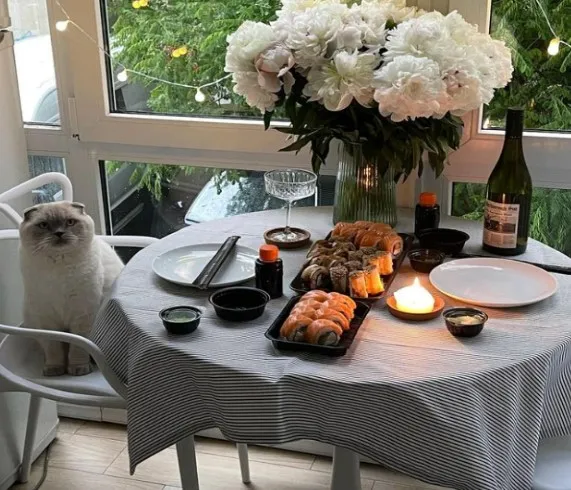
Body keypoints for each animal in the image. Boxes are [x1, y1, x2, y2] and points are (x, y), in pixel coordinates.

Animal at [19, 201, 124, 376]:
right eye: (44, 225)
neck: (59, 270)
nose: (59, 233)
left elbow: (77, 349)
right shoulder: (46, 320)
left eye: (70, 222)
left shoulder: (82, 316)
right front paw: (55, 370)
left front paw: (78, 369)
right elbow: (54, 350)